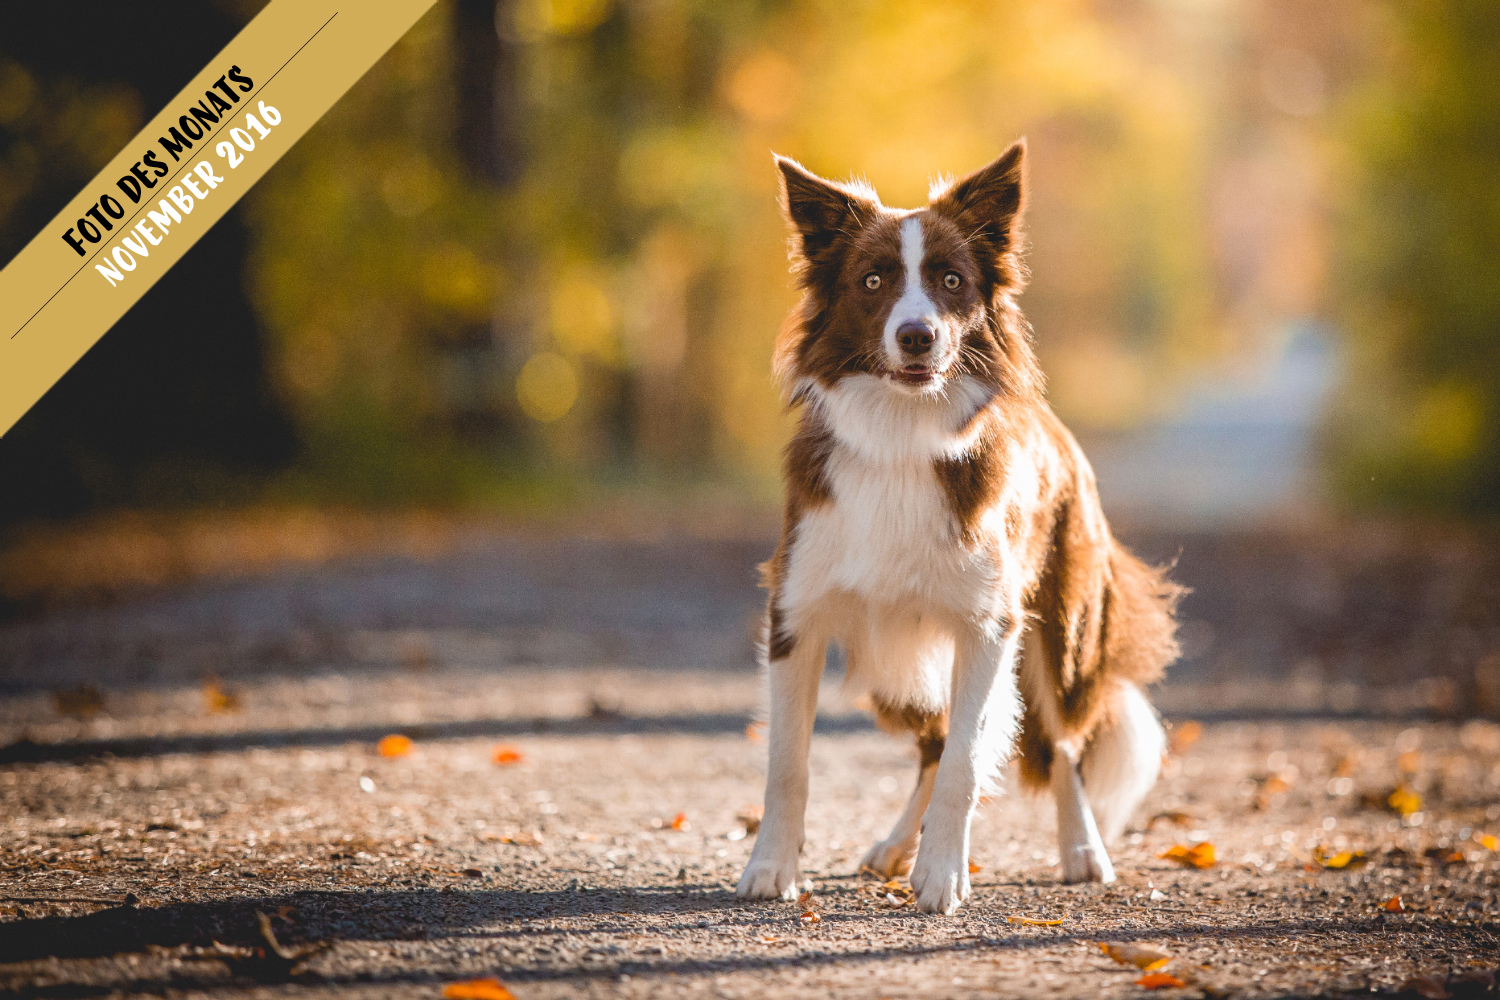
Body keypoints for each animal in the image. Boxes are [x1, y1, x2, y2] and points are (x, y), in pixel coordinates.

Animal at [738, 138, 1182, 917]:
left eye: (951, 280)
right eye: (873, 280)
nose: (918, 336)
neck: (901, 434)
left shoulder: (989, 626)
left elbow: (968, 762)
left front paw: (943, 874)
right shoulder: (796, 614)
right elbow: (788, 762)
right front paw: (772, 868)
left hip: (1060, 634)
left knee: (1061, 745)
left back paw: (1082, 850)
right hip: (892, 665)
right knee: (932, 740)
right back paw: (892, 848)